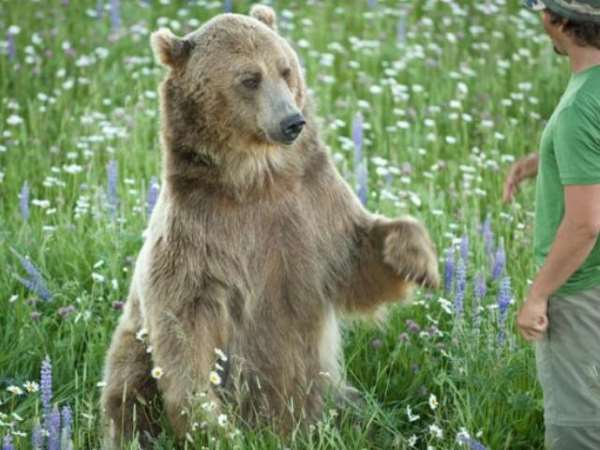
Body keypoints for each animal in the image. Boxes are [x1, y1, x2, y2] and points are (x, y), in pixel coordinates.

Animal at [101, 3, 438, 446]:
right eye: (249, 78)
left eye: (285, 69)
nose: (292, 121)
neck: (256, 178)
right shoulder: (195, 235)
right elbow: (184, 331)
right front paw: (215, 425)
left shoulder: (312, 206)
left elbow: (358, 263)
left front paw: (418, 260)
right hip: (133, 351)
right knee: (129, 391)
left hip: (328, 392)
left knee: (364, 415)